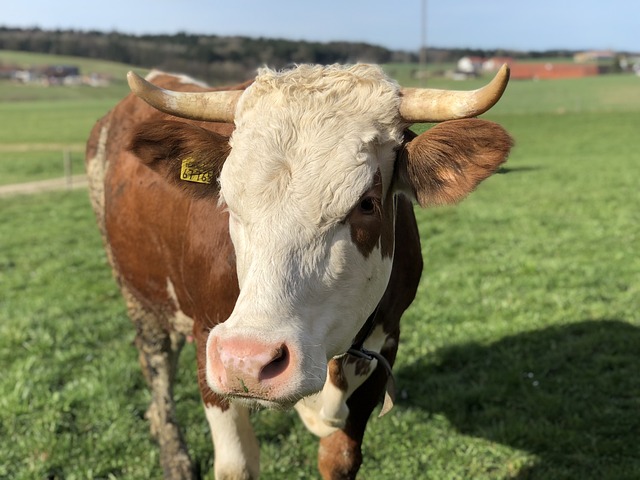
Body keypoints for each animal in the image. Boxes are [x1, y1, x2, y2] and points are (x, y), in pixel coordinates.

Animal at [85, 63, 512, 480]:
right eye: (227, 198)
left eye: (367, 203)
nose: (247, 360)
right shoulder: (207, 337)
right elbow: (237, 466)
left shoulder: (385, 344)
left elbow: (340, 459)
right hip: (141, 297)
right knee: (158, 370)